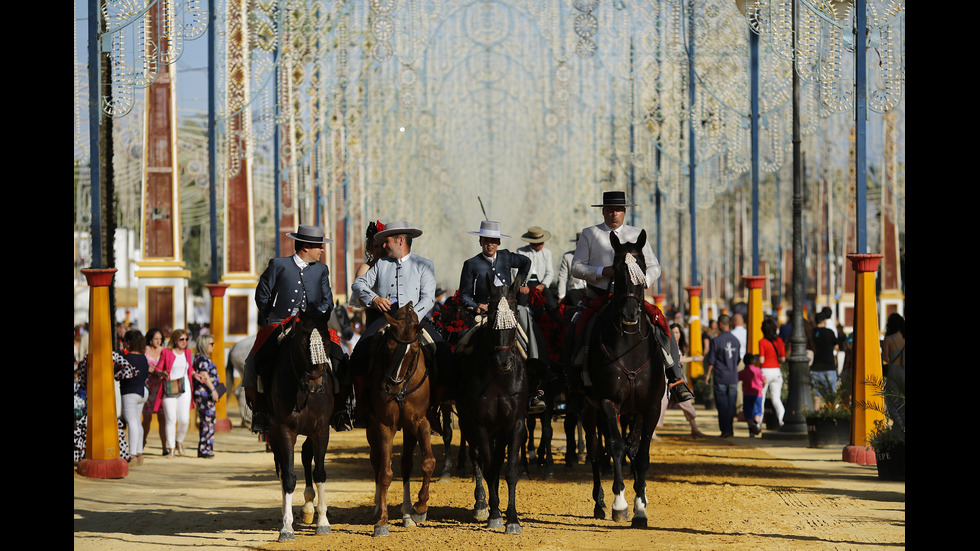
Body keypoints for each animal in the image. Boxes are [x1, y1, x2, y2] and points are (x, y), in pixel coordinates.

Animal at [266, 310, 342, 544]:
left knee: (307, 455)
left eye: (326, 342)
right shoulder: (284, 430)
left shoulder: (321, 430)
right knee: (282, 469)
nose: (316, 385)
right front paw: (286, 527)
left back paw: (309, 507)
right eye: (301, 342)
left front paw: (323, 522)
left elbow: (319, 472)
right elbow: (289, 476)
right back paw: (288, 511)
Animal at [366, 302, 434, 540]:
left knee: (405, 464)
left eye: (413, 351)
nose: (391, 387)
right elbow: (386, 472)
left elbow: (427, 462)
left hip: (408, 430)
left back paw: (407, 513)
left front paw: (420, 508)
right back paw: (379, 508)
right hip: (372, 428)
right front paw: (382, 521)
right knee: (377, 461)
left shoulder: (420, 422)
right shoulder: (384, 425)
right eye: (389, 346)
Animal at [458, 280, 532, 536]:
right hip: (467, 422)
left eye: (515, 315)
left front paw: (513, 519)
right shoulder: (480, 425)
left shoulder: (516, 424)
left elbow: (509, 471)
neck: (499, 379)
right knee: (478, 457)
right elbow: (488, 467)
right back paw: (482, 504)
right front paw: (495, 515)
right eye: (491, 317)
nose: (504, 363)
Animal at [580, 230, 668, 532]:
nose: (630, 314)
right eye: (617, 269)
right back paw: (599, 503)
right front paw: (620, 504)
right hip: (586, 408)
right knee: (596, 451)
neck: (629, 347)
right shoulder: (609, 403)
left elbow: (641, 453)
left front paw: (641, 507)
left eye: (641, 267)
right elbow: (616, 447)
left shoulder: (649, 407)